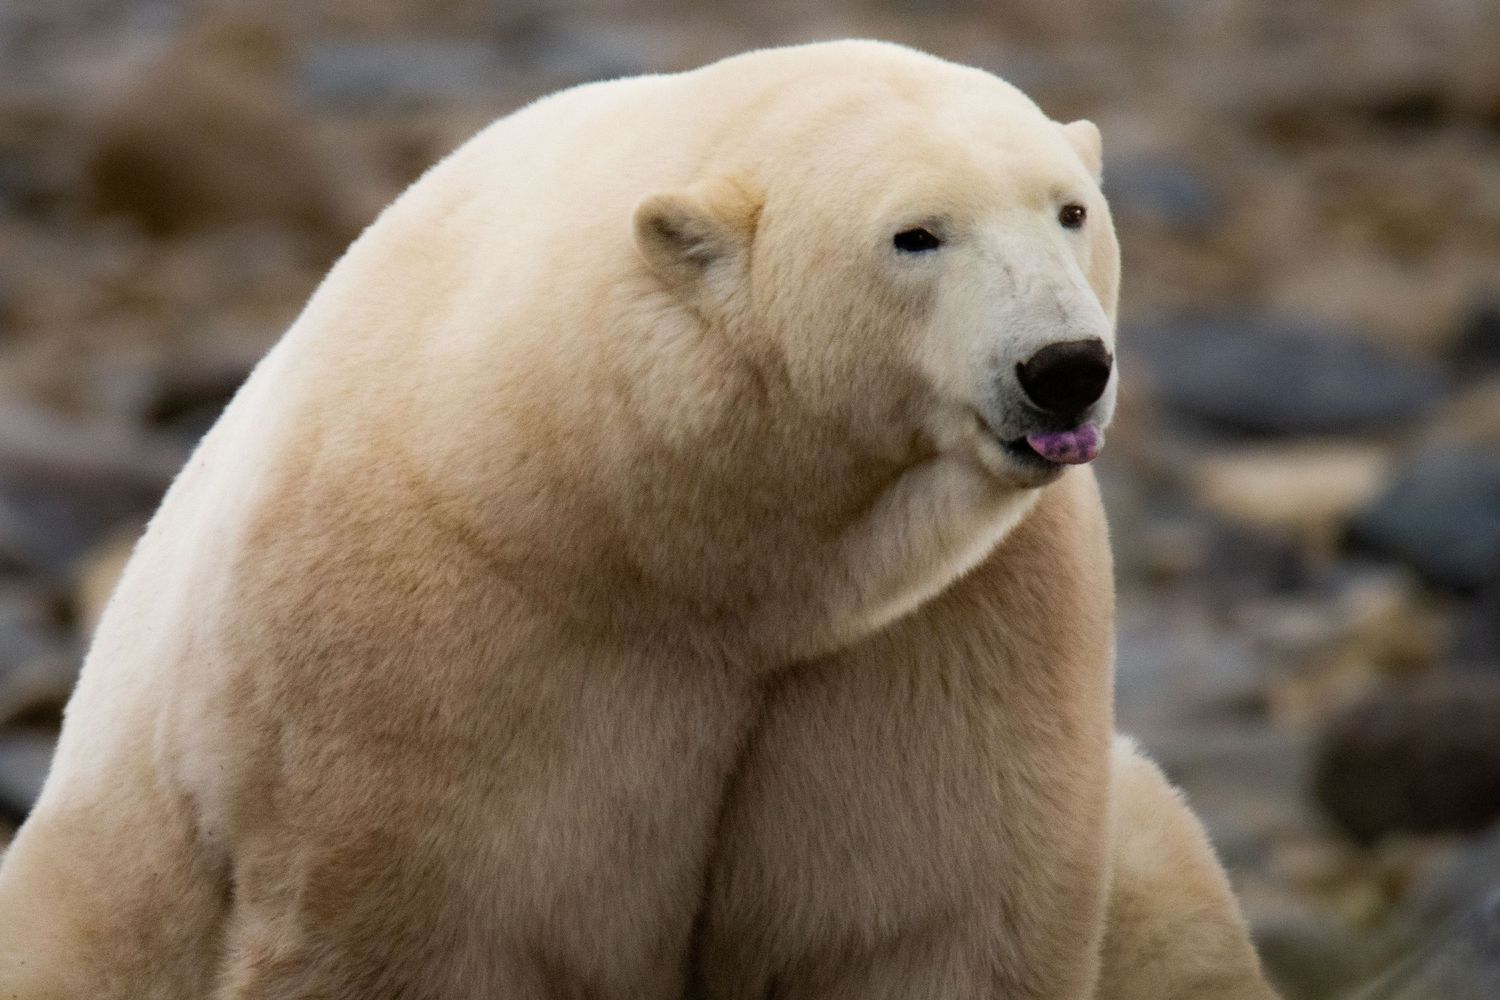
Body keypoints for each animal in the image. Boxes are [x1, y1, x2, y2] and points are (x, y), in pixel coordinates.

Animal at [0, 40, 1276, 999]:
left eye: (1071, 210)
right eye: (916, 232)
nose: (1064, 368)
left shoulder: (946, 628)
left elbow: (921, 913)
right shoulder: (423, 648)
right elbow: (407, 929)